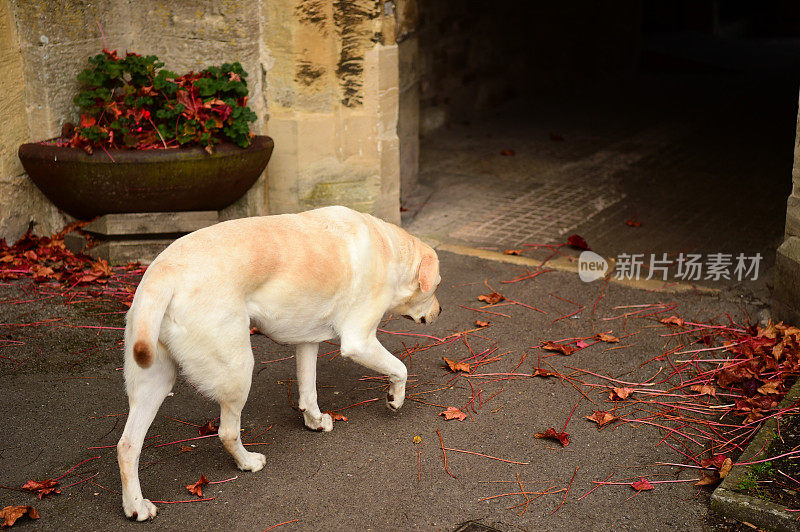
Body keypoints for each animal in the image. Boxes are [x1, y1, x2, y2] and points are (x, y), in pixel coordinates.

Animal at [117, 206, 444, 520]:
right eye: (437, 286)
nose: (441, 311)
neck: (389, 248)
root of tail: (163, 273)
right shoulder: (359, 342)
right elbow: (401, 369)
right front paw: (395, 398)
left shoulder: (308, 341)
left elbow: (308, 393)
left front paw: (314, 421)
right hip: (238, 370)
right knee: (227, 432)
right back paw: (248, 462)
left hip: (154, 383)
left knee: (127, 446)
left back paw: (136, 507)